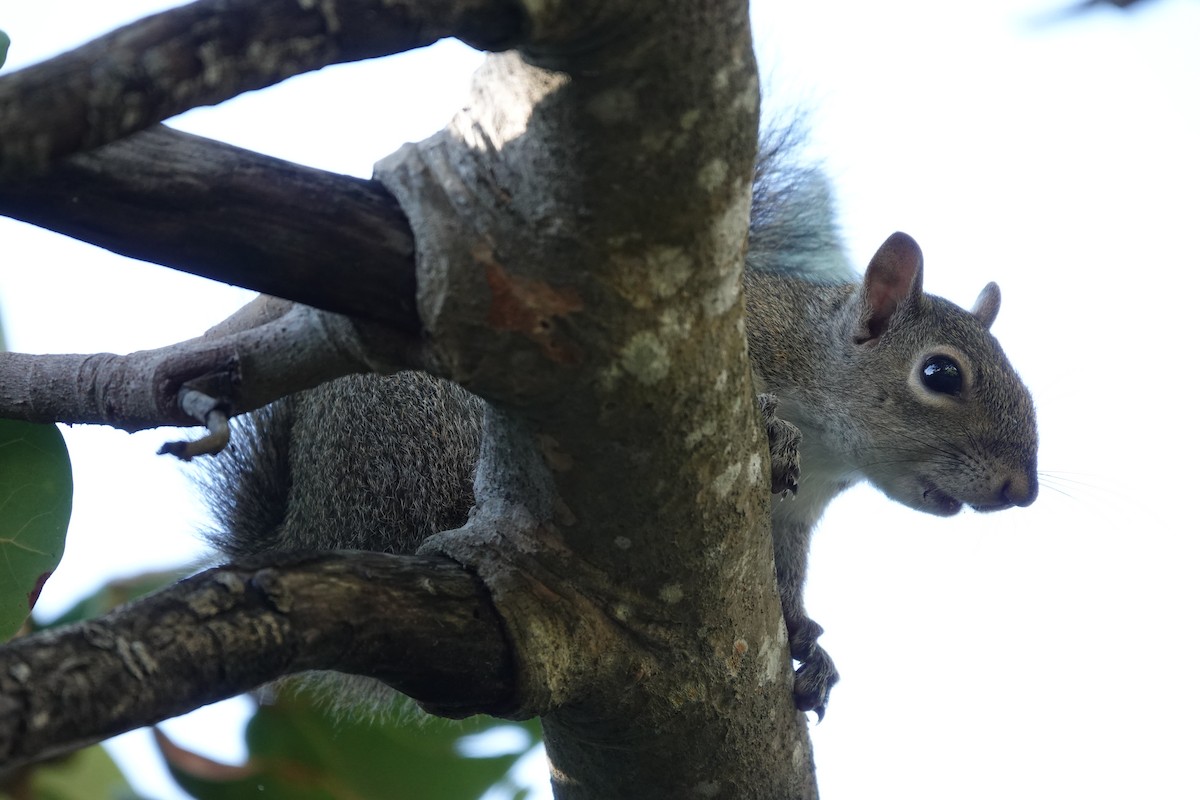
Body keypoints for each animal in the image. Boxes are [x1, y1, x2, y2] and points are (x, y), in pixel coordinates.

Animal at [203, 136, 1039, 719]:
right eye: (941, 375)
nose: (1021, 489)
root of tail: (310, 522)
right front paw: (774, 432)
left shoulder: (795, 520)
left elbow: (786, 578)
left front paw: (804, 638)